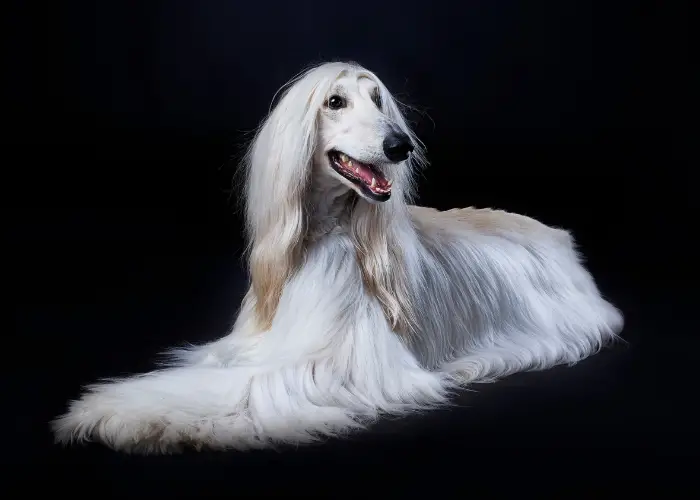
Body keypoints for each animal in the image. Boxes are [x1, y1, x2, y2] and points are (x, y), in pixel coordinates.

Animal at [53, 61, 624, 454]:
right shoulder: (249, 342)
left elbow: (243, 388)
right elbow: (216, 364)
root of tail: (558, 237)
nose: (400, 146)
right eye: (335, 101)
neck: (326, 234)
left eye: (379, 99)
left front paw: (120, 412)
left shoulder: (330, 368)